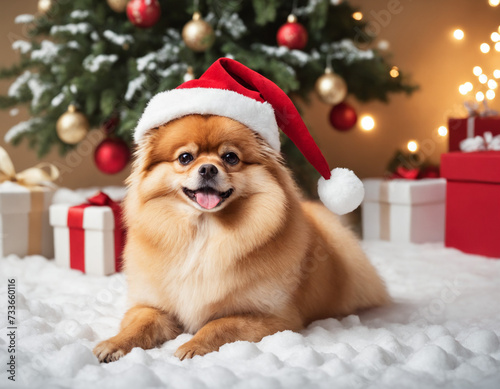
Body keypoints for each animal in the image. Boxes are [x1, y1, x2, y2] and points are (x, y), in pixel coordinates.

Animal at [94, 113, 390, 362]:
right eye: (185, 158)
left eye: (230, 157)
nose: (208, 169)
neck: (204, 233)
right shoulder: (151, 306)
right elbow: (140, 324)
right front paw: (114, 343)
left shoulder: (272, 317)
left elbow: (219, 324)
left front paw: (192, 345)